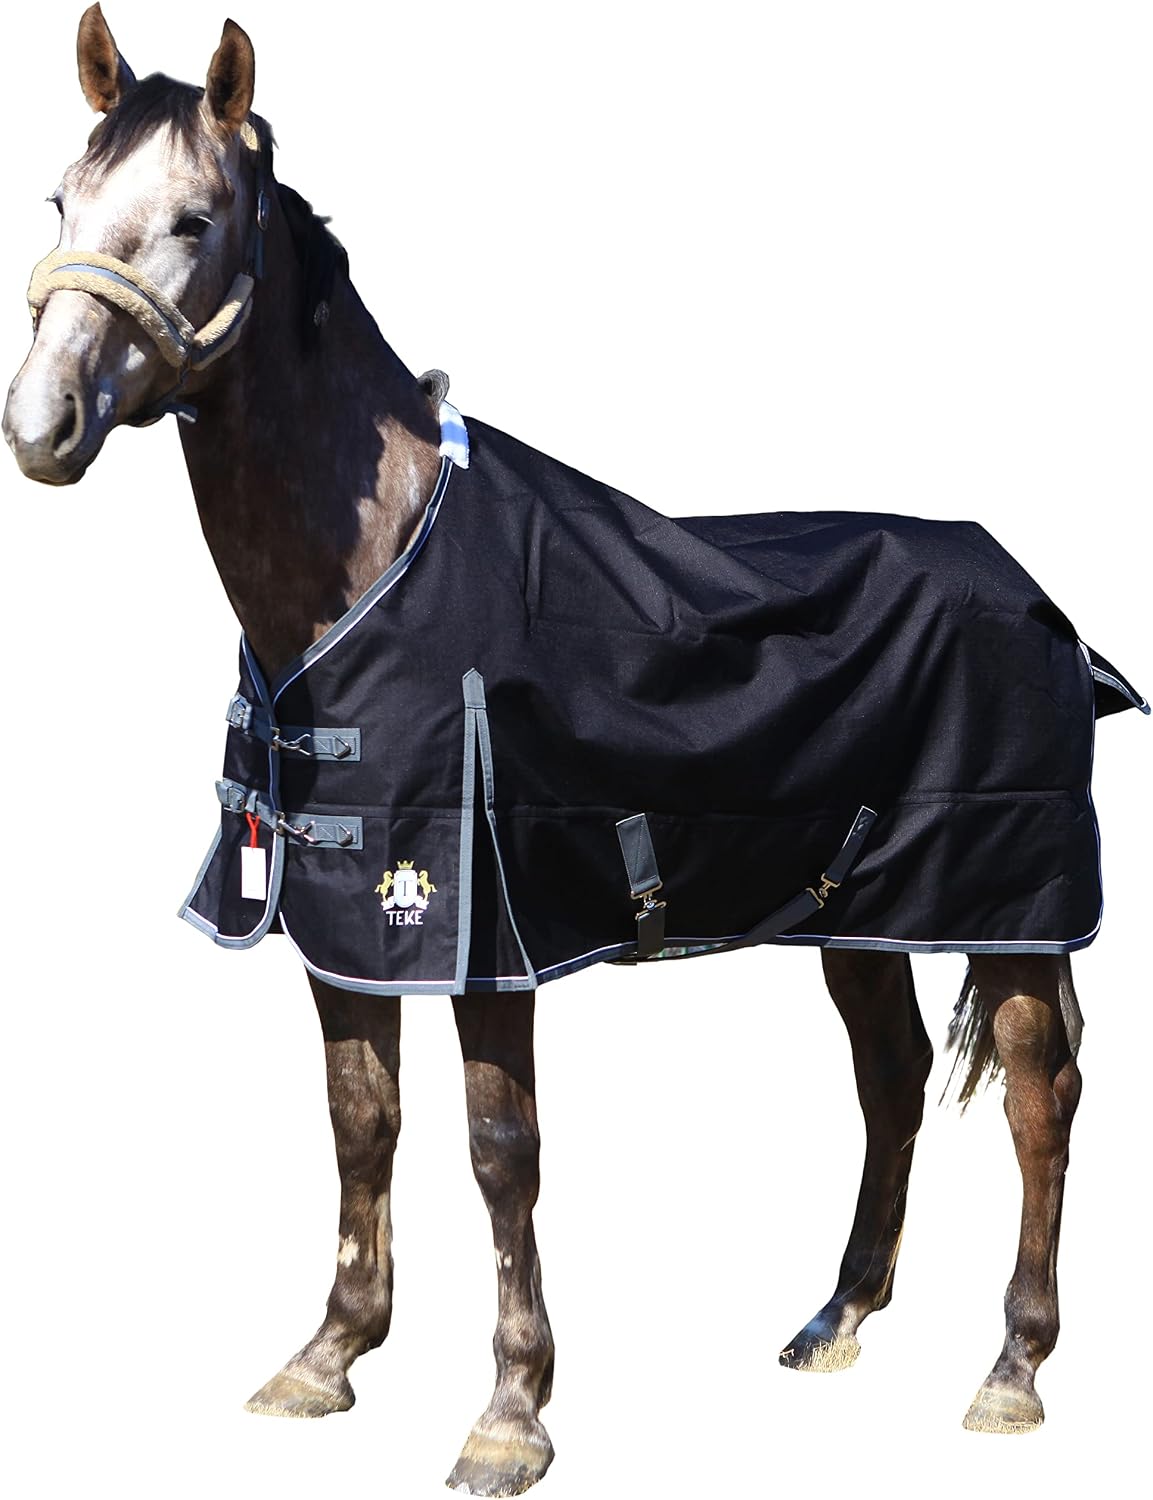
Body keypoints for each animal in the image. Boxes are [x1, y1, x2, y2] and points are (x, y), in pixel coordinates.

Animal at [4, 9, 1145, 1495]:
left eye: (196, 219)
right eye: (61, 201)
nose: (40, 426)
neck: (370, 570)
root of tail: (1033, 593)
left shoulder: (486, 929)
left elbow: (501, 1150)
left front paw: (509, 1415)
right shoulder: (346, 919)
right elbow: (360, 1120)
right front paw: (327, 1358)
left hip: (1007, 910)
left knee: (1035, 1095)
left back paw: (1010, 1371)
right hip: (857, 915)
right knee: (891, 1078)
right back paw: (834, 1318)